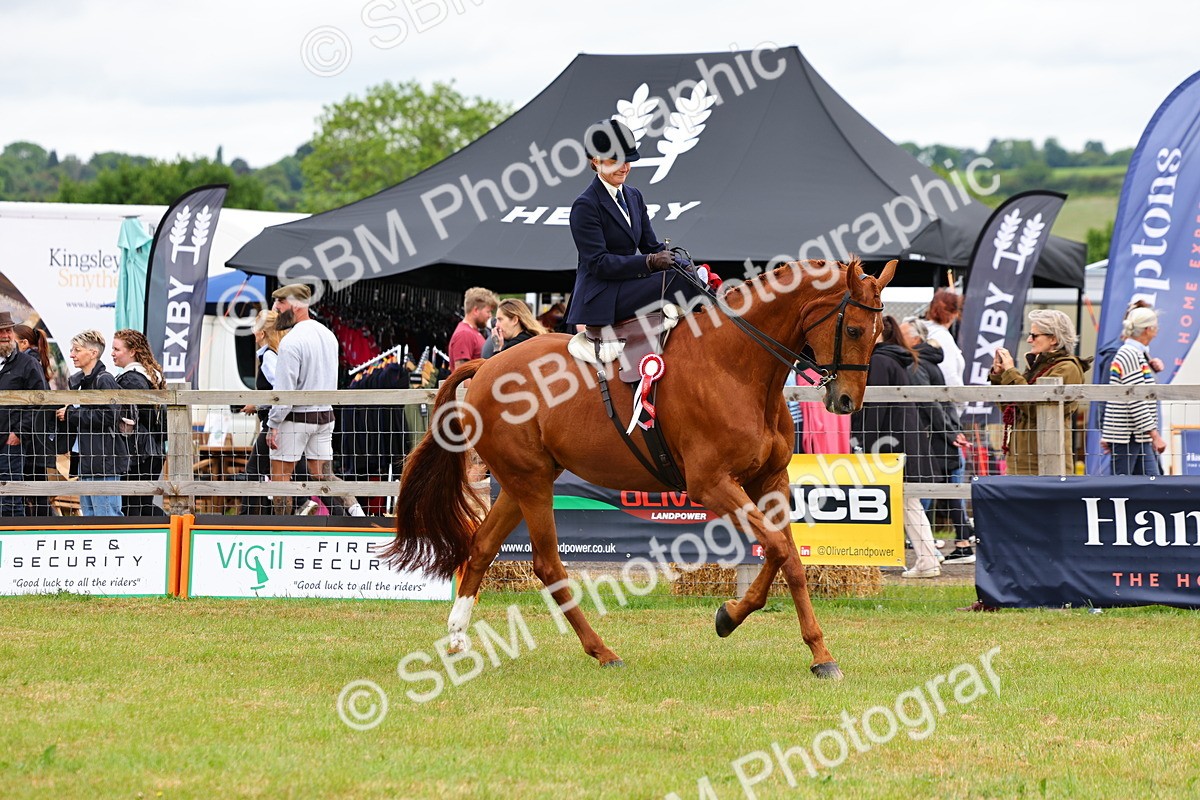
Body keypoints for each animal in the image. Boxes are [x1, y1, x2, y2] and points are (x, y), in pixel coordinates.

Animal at [382, 257, 897, 679]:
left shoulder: (769, 481)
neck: (736, 364)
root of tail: (486, 366)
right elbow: (780, 550)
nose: (846, 401)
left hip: (520, 482)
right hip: (529, 484)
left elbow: (785, 557)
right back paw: (602, 651)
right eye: (853, 330)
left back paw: (458, 637)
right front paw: (738, 619)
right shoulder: (713, 484)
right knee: (547, 564)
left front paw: (808, 648)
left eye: (879, 335)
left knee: (483, 546)